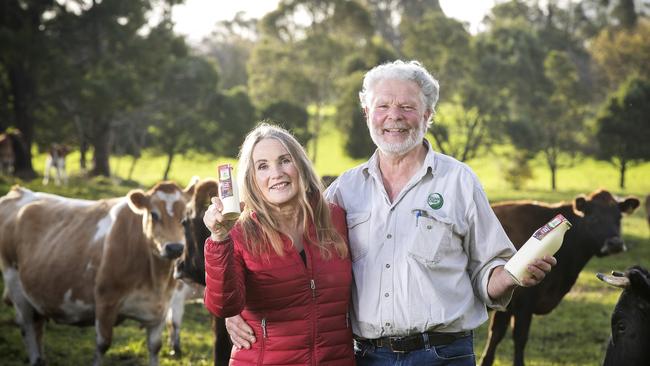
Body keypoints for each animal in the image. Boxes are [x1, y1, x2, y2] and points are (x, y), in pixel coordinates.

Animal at [0, 181, 197, 366]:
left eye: (185, 217)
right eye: (154, 214)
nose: (175, 248)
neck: (156, 279)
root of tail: (19, 191)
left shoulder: (160, 309)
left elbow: (155, 346)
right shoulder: (106, 301)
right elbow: (103, 344)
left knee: (37, 325)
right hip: (14, 283)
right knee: (27, 326)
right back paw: (35, 358)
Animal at [480, 190, 636, 366]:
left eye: (619, 217)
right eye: (593, 217)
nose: (615, 243)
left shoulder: (506, 303)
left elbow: (495, 335)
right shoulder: (524, 303)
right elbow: (519, 338)